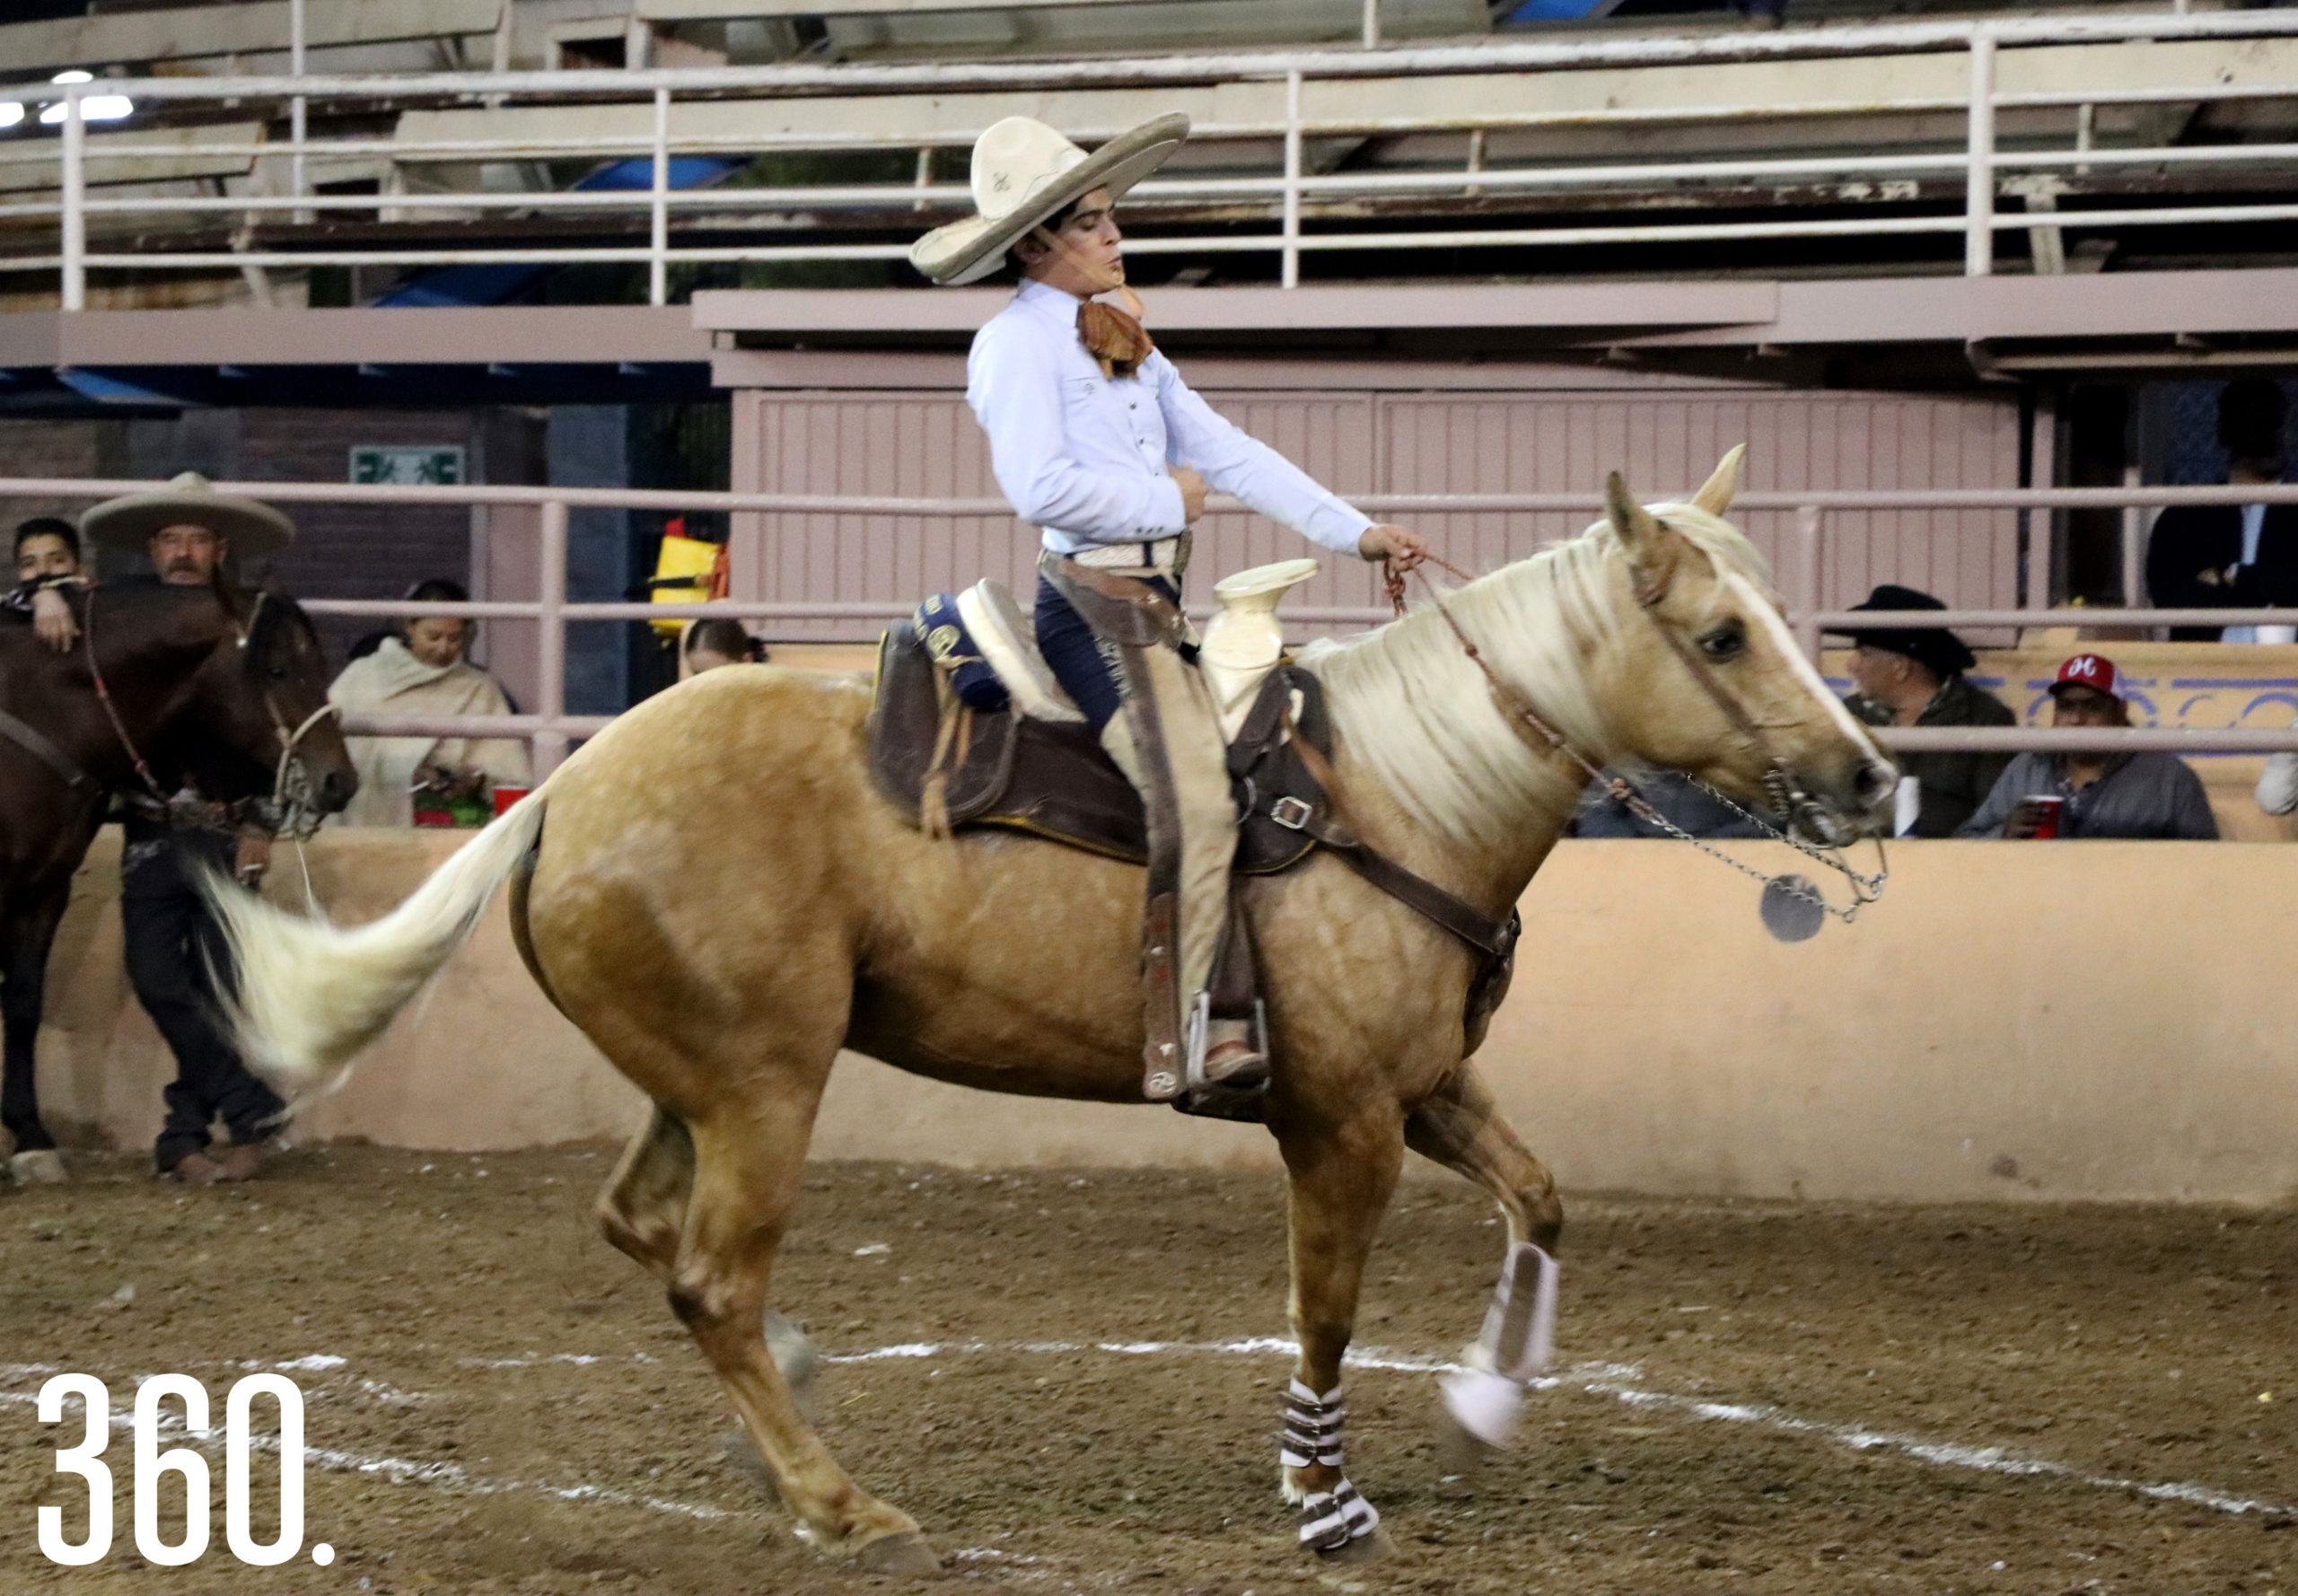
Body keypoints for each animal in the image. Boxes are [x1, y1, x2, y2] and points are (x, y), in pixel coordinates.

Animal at [0, 581, 354, 1175]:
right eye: (277, 669)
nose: (340, 781)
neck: (37, 706)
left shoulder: (45, 888)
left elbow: (23, 1004)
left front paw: (32, 1140)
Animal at [206, 454, 1893, 1580]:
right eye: (1723, 635)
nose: (1873, 775)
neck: (1404, 791)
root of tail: (563, 791)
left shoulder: (1428, 1087)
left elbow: (1541, 1198)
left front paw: (1483, 1408)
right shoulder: (1337, 1118)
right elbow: (1328, 1306)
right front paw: (1326, 1499)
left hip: (696, 1078)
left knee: (647, 1230)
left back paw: (799, 1409)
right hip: (764, 1083)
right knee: (708, 1278)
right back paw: (840, 1501)